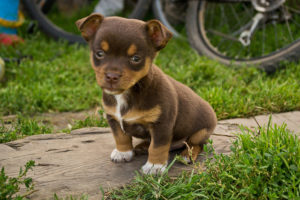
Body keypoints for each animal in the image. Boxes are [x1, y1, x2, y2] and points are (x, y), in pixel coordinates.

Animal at [76, 13, 217, 173]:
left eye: (136, 58)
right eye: (99, 53)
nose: (112, 76)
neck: (128, 92)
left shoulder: (161, 124)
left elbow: (158, 146)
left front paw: (155, 166)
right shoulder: (113, 118)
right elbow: (120, 137)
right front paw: (123, 153)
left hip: (201, 132)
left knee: (196, 144)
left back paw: (187, 155)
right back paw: (142, 146)